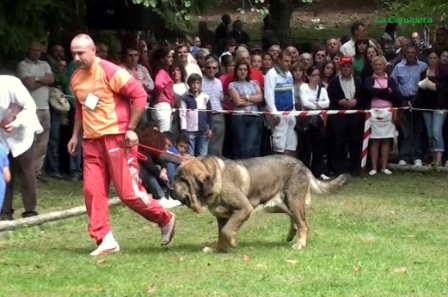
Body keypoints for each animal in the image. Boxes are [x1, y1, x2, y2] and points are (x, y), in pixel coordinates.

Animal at [173, 154, 348, 251]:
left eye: (182, 179)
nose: (169, 186)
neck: (217, 178)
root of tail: (302, 165)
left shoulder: (244, 208)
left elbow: (227, 231)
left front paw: (232, 242)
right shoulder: (222, 216)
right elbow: (222, 232)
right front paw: (218, 248)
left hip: (292, 200)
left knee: (304, 224)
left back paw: (300, 244)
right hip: (279, 205)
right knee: (296, 219)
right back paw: (291, 234)